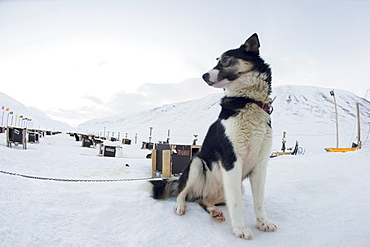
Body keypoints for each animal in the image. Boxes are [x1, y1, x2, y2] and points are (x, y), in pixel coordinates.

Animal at [149, 32, 276, 239]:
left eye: (225, 59)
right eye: (217, 59)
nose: (203, 75)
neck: (247, 100)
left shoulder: (260, 164)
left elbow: (259, 202)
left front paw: (263, 222)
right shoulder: (231, 160)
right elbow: (236, 204)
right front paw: (240, 228)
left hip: (235, 187)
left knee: (205, 201)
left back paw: (215, 211)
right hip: (196, 164)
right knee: (182, 193)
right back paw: (180, 206)